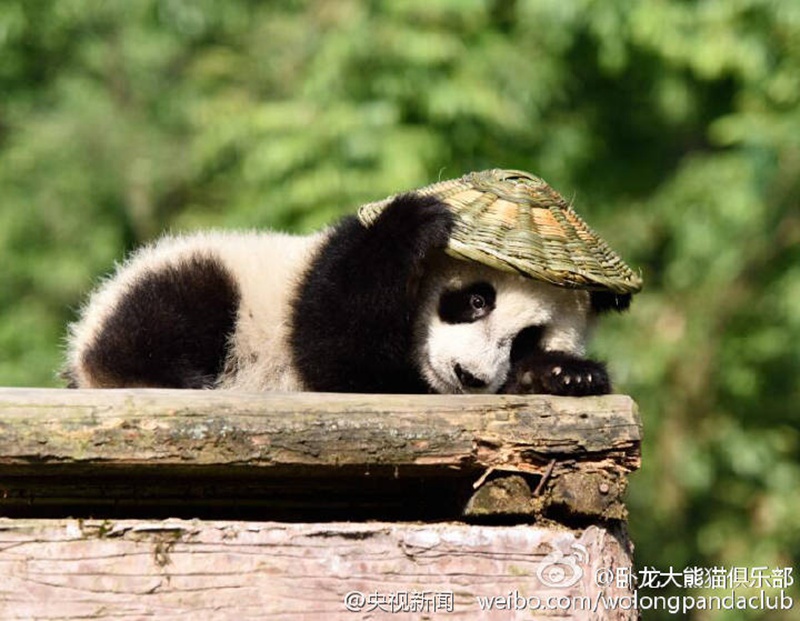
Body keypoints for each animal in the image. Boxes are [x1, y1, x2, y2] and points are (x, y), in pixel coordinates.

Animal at [64, 193, 629, 395]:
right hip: (210, 275)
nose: (469, 376)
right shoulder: (318, 271)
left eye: (528, 338)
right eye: (475, 301)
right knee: (174, 306)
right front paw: (413, 221)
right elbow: (332, 343)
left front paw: (567, 374)